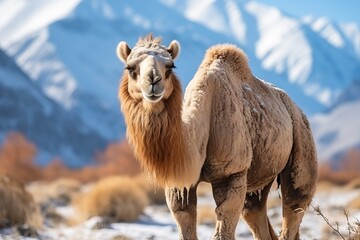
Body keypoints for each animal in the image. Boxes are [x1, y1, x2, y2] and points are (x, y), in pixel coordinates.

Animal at [116, 34, 316, 240]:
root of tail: (296, 108)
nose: (153, 82)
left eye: (170, 66)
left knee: (295, 200)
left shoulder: (231, 172)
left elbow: (224, 225)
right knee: (254, 209)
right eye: (129, 68)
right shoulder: (179, 183)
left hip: (301, 136)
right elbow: (183, 217)